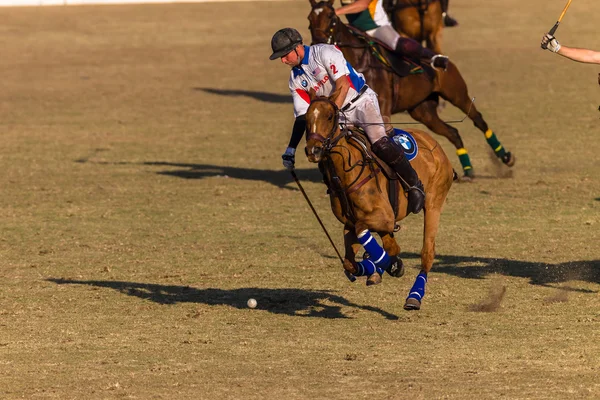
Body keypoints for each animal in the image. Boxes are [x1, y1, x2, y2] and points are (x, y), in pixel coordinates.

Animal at [304, 95, 454, 310]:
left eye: (330, 116)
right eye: (305, 118)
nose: (313, 150)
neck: (345, 173)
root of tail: (434, 144)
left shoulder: (384, 218)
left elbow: (365, 231)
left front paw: (386, 264)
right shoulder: (350, 224)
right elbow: (349, 263)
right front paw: (380, 265)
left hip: (433, 205)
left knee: (427, 253)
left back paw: (414, 296)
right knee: (391, 246)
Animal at [308, 0, 512, 177]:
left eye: (331, 17)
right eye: (310, 20)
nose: (318, 43)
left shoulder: (382, 108)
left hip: (457, 94)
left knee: (478, 120)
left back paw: (505, 157)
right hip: (423, 111)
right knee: (452, 132)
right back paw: (468, 170)